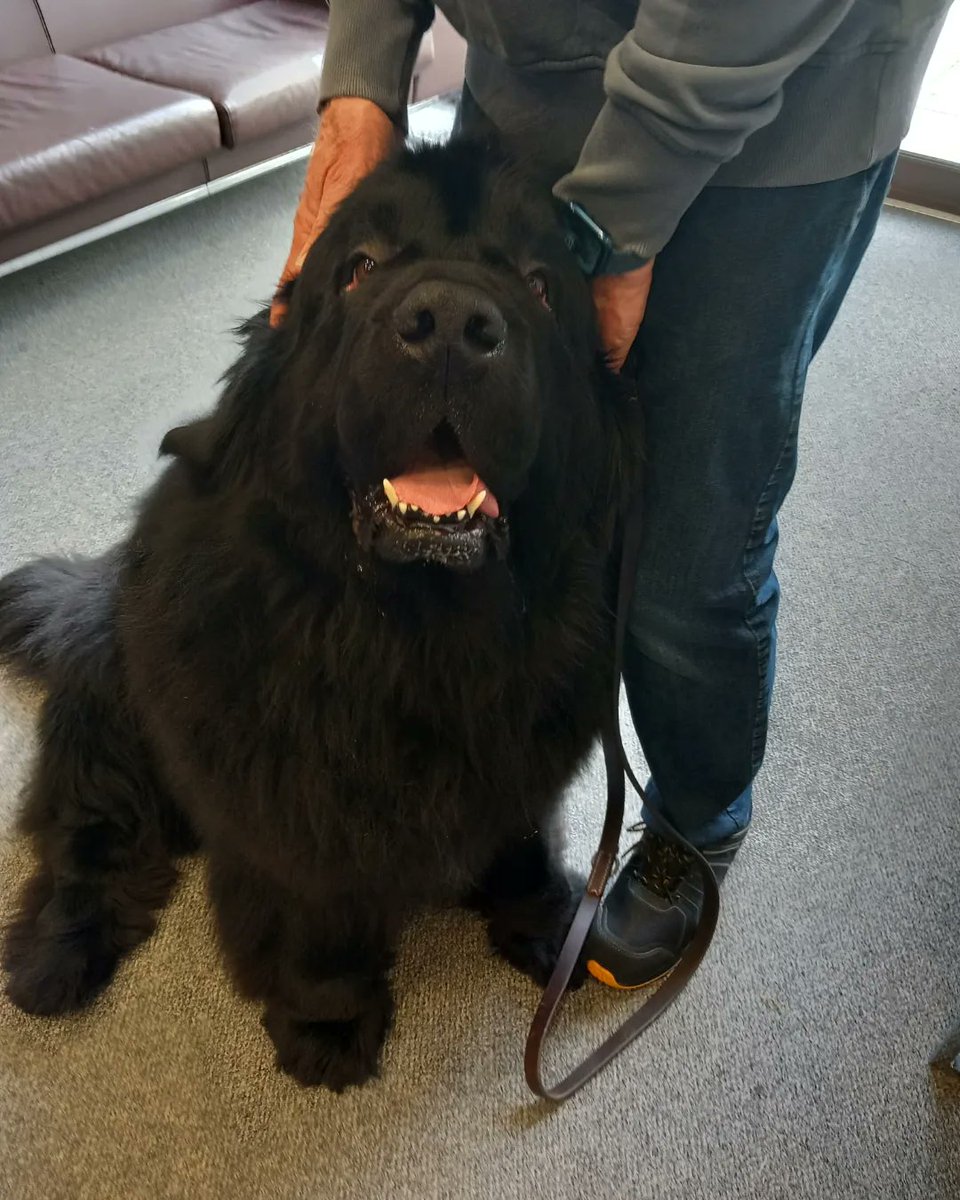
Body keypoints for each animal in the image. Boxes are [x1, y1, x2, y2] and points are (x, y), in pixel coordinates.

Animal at [0, 140, 638, 1089]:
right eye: (359, 268)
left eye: (539, 282)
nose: (451, 322)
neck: (420, 636)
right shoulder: (291, 807)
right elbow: (318, 916)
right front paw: (328, 1027)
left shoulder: (523, 756)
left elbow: (523, 840)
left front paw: (549, 928)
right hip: (112, 715)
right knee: (89, 835)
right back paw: (54, 958)